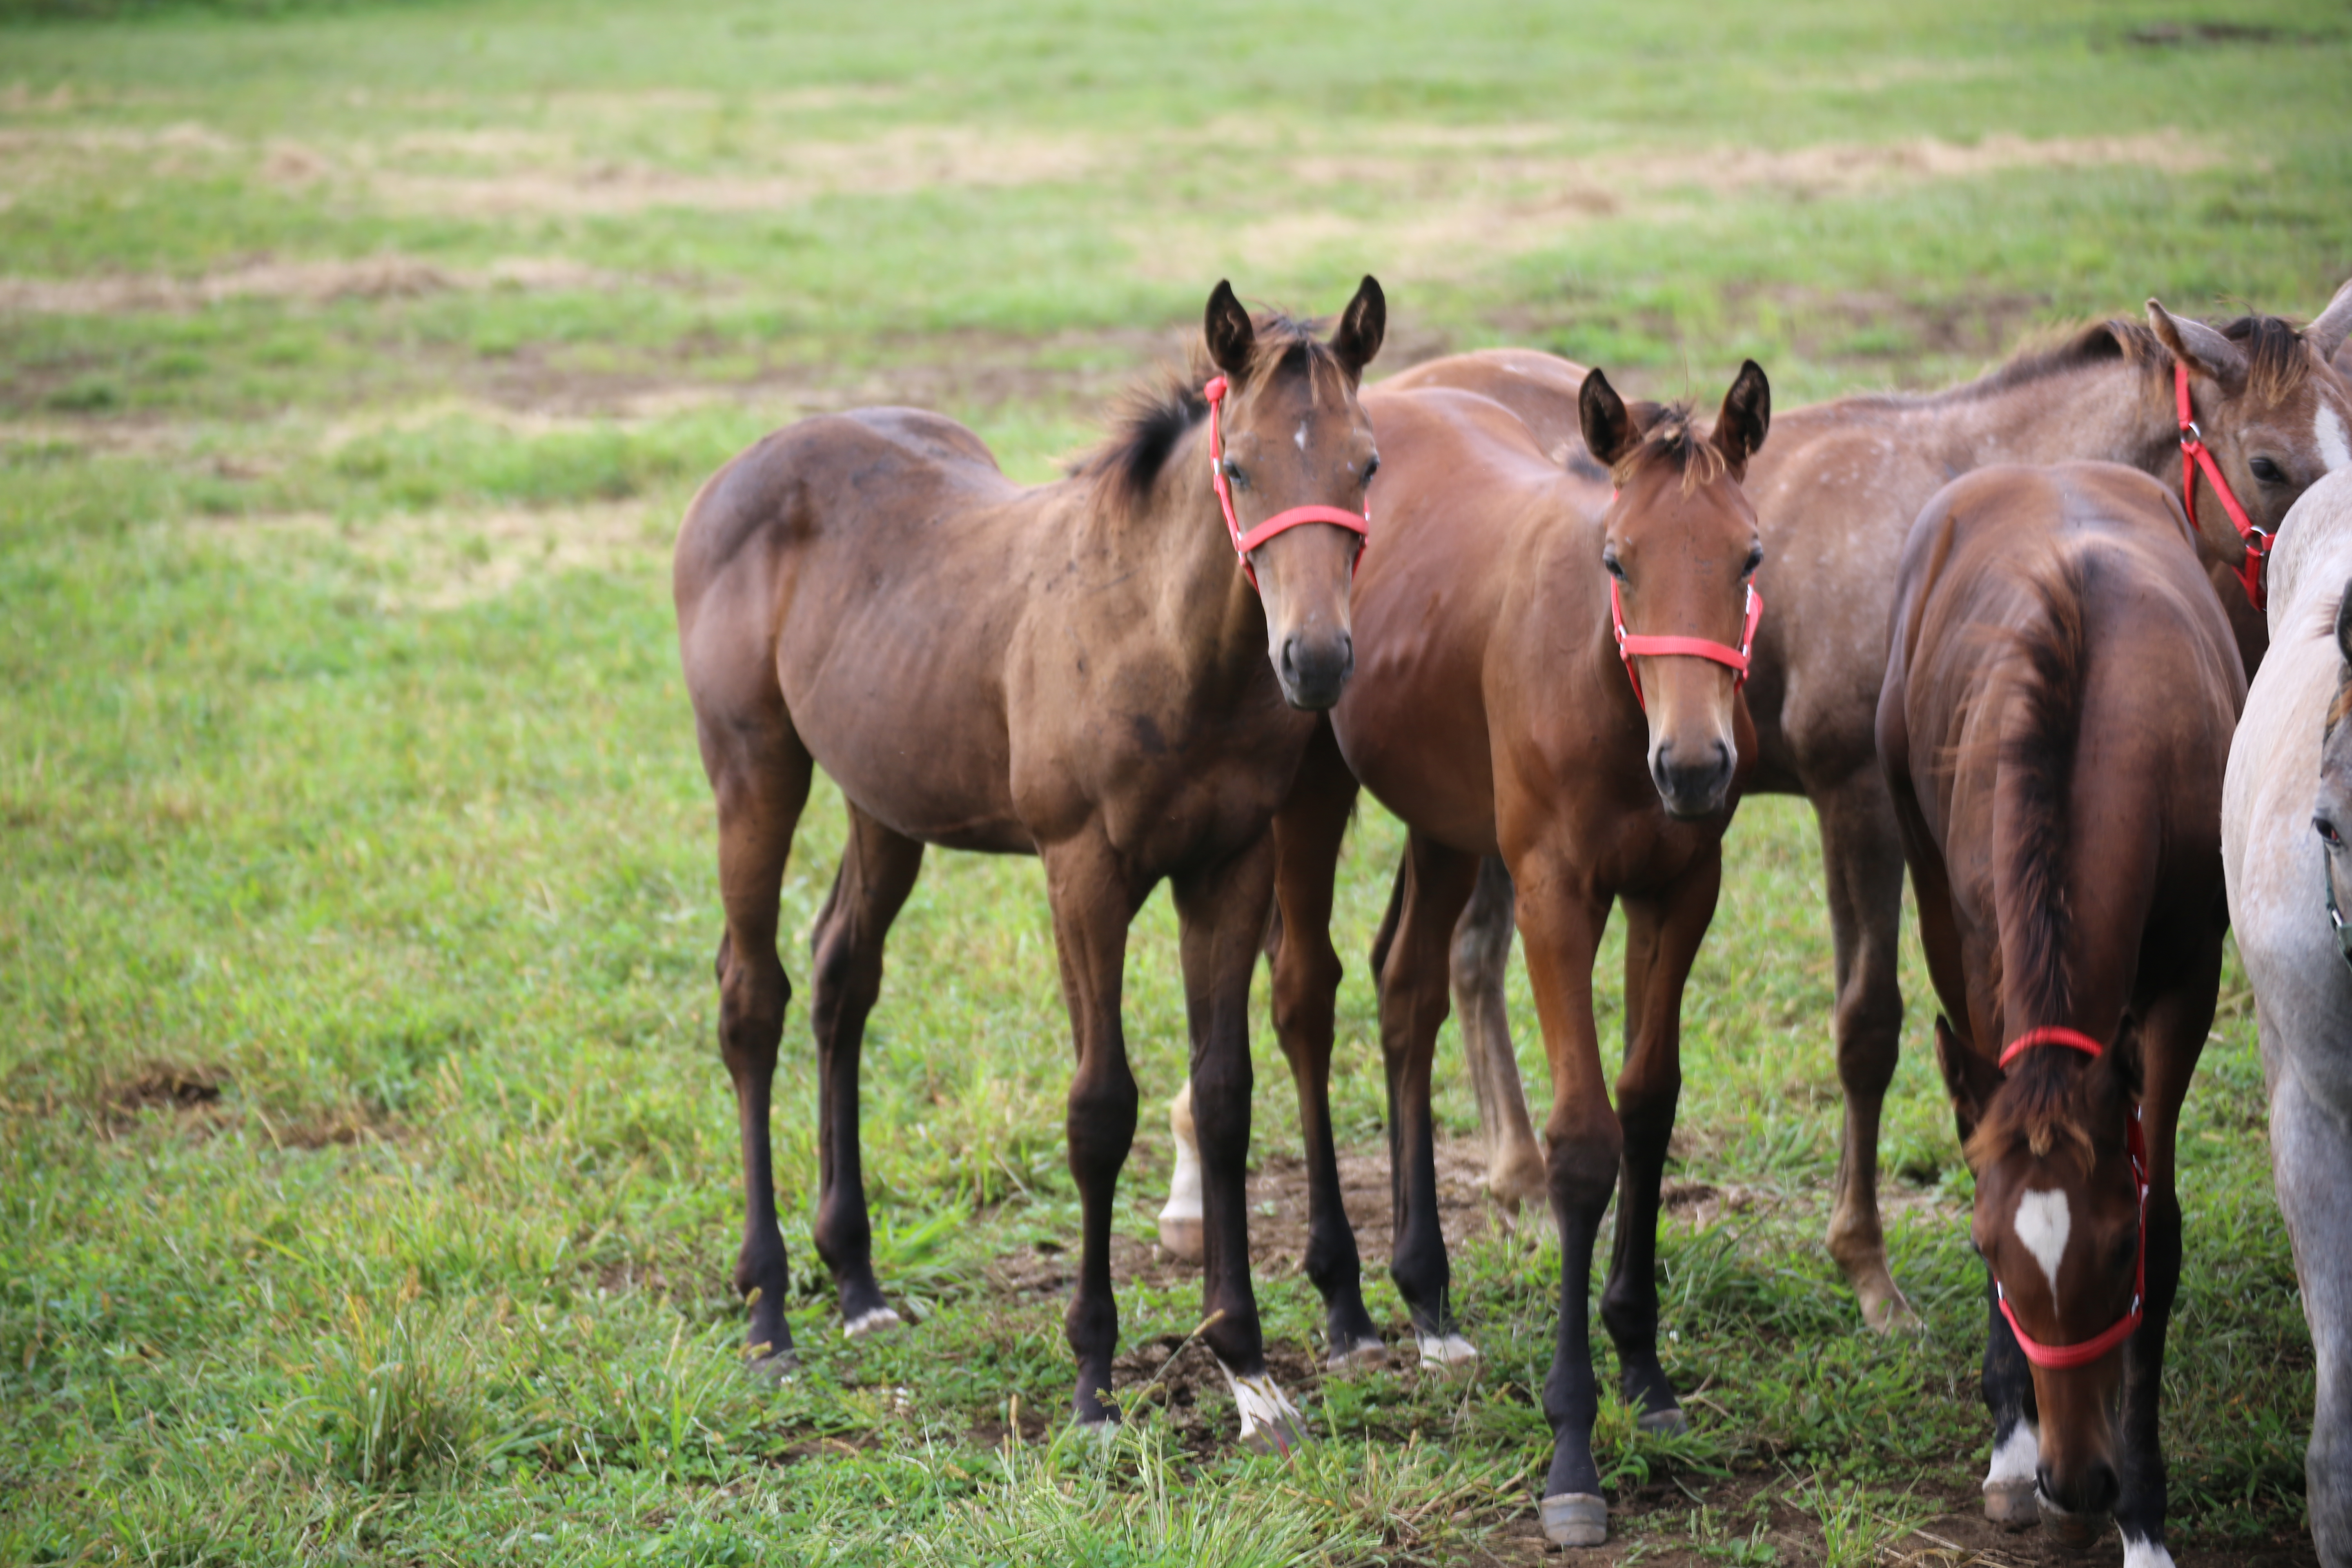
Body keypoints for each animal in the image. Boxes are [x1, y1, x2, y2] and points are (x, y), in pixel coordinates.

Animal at [673, 276, 1383, 1457]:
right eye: (1239, 467)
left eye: (1365, 463)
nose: (1317, 660)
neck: (1159, 639)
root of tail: (742, 468)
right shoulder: (1081, 872)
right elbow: (1101, 1109)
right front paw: (1094, 1380)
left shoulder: (1231, 867)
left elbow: (1223, 1097)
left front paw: (1247, 1371)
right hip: (753, 773)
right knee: (749, 1000)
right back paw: (769, 1310)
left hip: (884, 799)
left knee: (840, 978)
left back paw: (857, 1282)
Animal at [1251, 359, 1768, 1542]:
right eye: (1617, 560)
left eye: (1750, 555)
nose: (1693, 767)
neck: (1612, 691)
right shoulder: (1553, 896)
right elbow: (1581, 1141)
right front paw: (1572, 1448)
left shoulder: (1682, 891)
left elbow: (1648, 1106)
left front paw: (1644, 1365)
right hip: (1316, 791)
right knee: (1307, 995)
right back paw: (1346, 1296)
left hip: (1445, 820)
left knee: (1407, 989)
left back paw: (1426, 1291)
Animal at [1298, 285, 2352, 1326]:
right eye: (2267, 462)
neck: (1957, 482)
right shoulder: (1856, 802)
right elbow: (1868, 1027)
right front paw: (1867, 1267)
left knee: (1462, 957)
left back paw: (1511, 1168)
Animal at [1872, 461, 2239, 1561]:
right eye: (1988, 1250)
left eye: (2113, 1252)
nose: (2078, 1480)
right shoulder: (1989, 966)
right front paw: (2011, 1444)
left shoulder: (2183, 986)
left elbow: (2165, 1221)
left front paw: (2144, 1514)